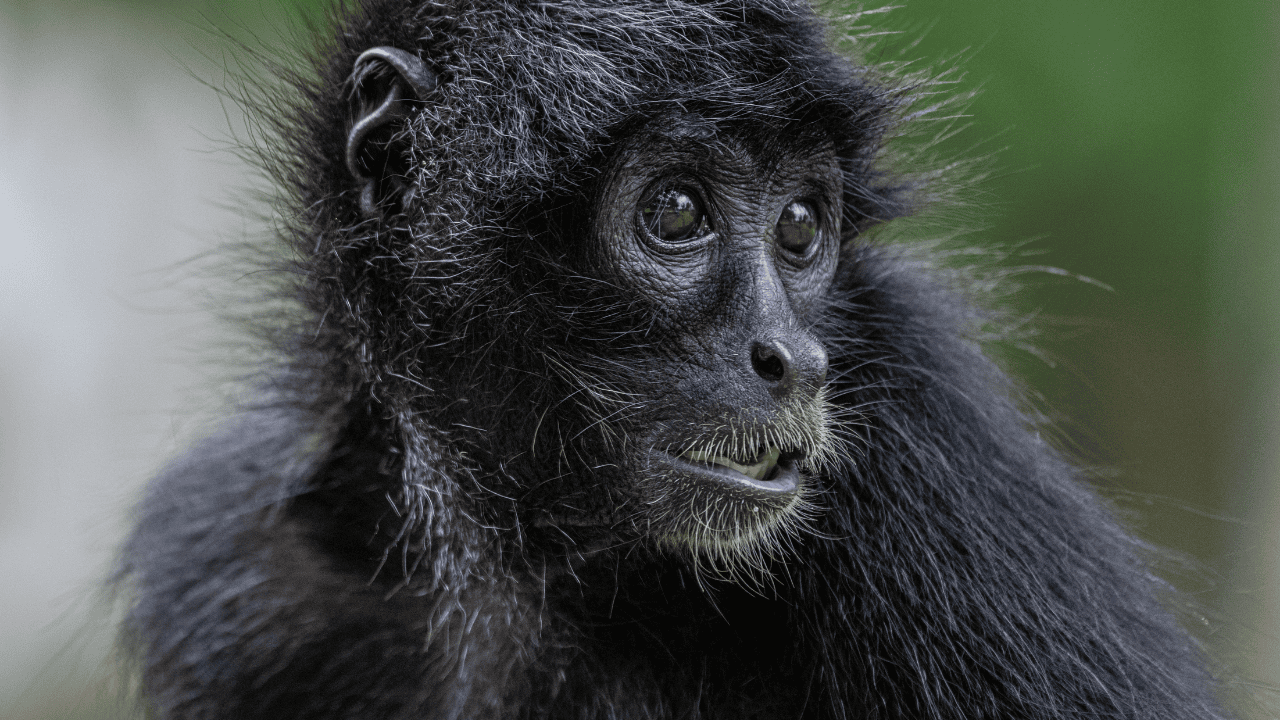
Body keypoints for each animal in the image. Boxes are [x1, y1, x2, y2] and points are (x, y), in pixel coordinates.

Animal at [118, 0, 1234, 718]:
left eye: (800, 226)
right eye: (678, 212)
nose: (794, 359)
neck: (505, 559)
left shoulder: (921, 435)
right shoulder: (229, 561)